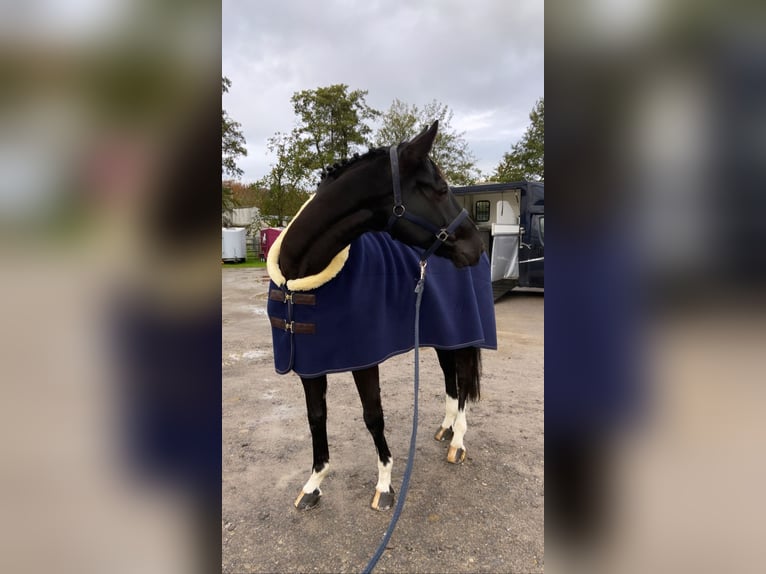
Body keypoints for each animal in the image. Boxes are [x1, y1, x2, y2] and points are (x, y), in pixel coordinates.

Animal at [268, 121, 498, 512]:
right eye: (439, 189)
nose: (475, 247)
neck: (300, 277)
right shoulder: (309, 365)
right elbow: (316, 417)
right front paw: (313, 484)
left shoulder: (365, 361)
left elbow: (373, 416)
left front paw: (386, 486)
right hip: (442, 335)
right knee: (450, 377)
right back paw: (447, 427)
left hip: (463, 335)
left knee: (464, 379)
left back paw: (458, 442)